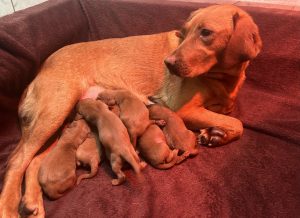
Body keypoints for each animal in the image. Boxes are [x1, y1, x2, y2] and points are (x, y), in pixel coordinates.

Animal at [0, 3, 260, 216]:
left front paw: (215, 135)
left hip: (60, 124)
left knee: (33, 162)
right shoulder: (183, 110)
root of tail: (40, 70)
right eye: (183, 32)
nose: (168, 63)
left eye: (205, 33)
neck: (223, 79)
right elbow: (239, 123)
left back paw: (32, 202)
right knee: (17, 160)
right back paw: (10, 208)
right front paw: (216, 132)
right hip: (56, 109)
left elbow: (231, 119)